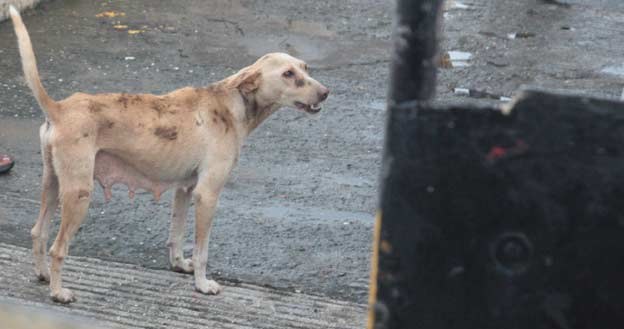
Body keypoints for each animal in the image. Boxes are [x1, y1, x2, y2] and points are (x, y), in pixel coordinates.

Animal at [8, 5, 332, 302]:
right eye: (288, 74)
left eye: (306, 68)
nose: (326, 92)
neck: (231, 105)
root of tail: (59, 108)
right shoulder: (207, 194)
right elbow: (202, 250)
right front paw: (203, 285)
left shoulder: (185, 190)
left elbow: (176, 236)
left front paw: (179, 266)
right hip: (78, 195)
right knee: (57, 247)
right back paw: (58, 291)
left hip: (53, 185)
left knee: (38, 232)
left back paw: (43, 275)